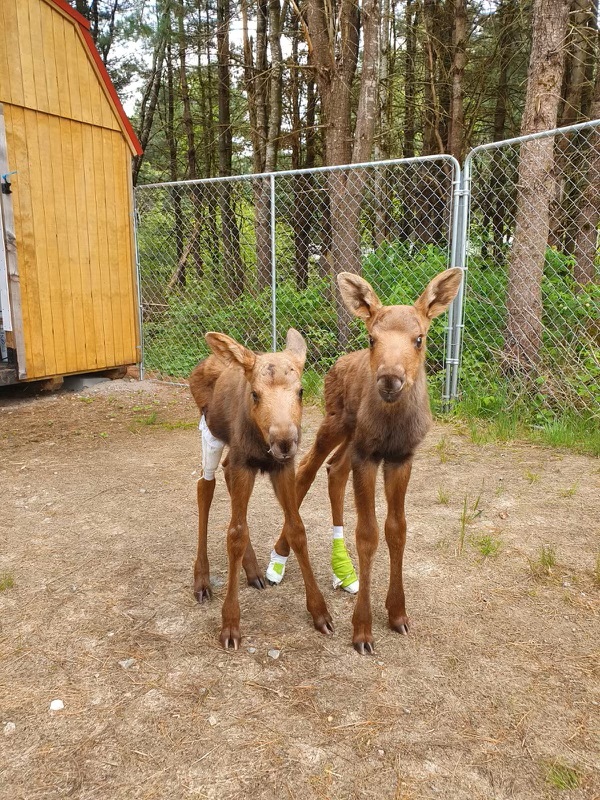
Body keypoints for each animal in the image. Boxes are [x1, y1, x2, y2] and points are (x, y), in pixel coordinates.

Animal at [190, 328, 332, 648]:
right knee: (205, 486)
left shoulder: (282, 467)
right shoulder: (244, 462)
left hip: (234, 456)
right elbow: (235, 534)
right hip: (210, 435)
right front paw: (230, 624)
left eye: (300, 391)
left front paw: (320, 612)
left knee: (224, 476)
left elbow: (296, 529)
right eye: (255, 394)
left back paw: (253, 570)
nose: (285, 441)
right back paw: (201, 579)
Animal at [272, 270, 464, 656]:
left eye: (419, 338)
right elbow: (368, 534)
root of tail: (336, 364)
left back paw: (342, 570)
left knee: (334, 468)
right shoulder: (368, 456)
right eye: (373, 337)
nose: (390, 378)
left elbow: (397, 530)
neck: (392, 426)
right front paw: (362, 629)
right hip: (335, 422)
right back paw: (279, 558)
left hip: (352, 438)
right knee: (307, 469)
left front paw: (397, 613)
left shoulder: (400, 457)